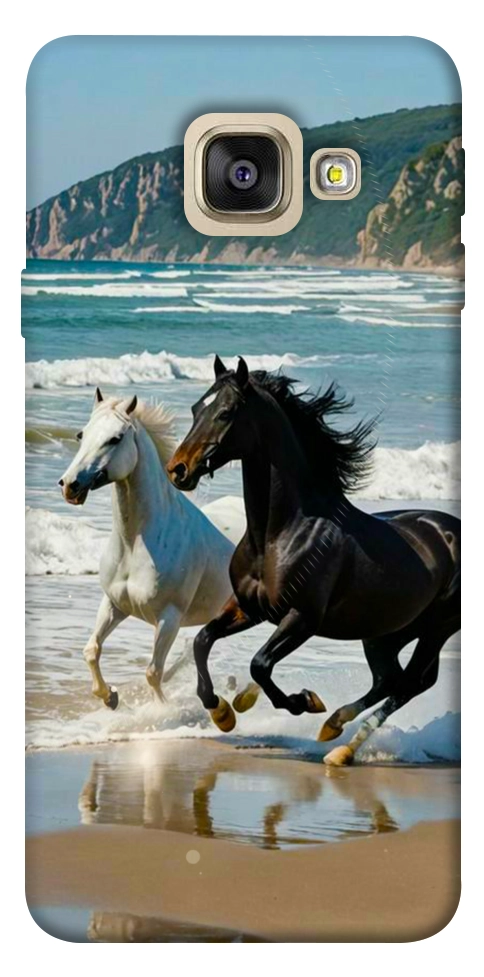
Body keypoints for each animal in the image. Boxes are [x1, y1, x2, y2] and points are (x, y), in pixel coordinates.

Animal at [59, 387, 234, 709]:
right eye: (81, 434)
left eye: (115, 438)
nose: (69, 485)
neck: (135, 544)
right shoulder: (114, 604)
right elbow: (92, 650)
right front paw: (110, 697)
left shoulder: (169, 618)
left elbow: (153, 672)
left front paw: (161, 711)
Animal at [166, 356, 460, 765]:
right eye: (197, 409)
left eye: (225, 413)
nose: (177, 469)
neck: (280, 534)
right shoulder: (248, 608)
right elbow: (202, 640)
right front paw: (223, 711)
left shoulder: (302, 618)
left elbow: (260, 664)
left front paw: (303, 701)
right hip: (386, 632)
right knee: (390, 679)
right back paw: (334, 729)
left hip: (436, 628)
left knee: (410, 683)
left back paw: (341, 746)